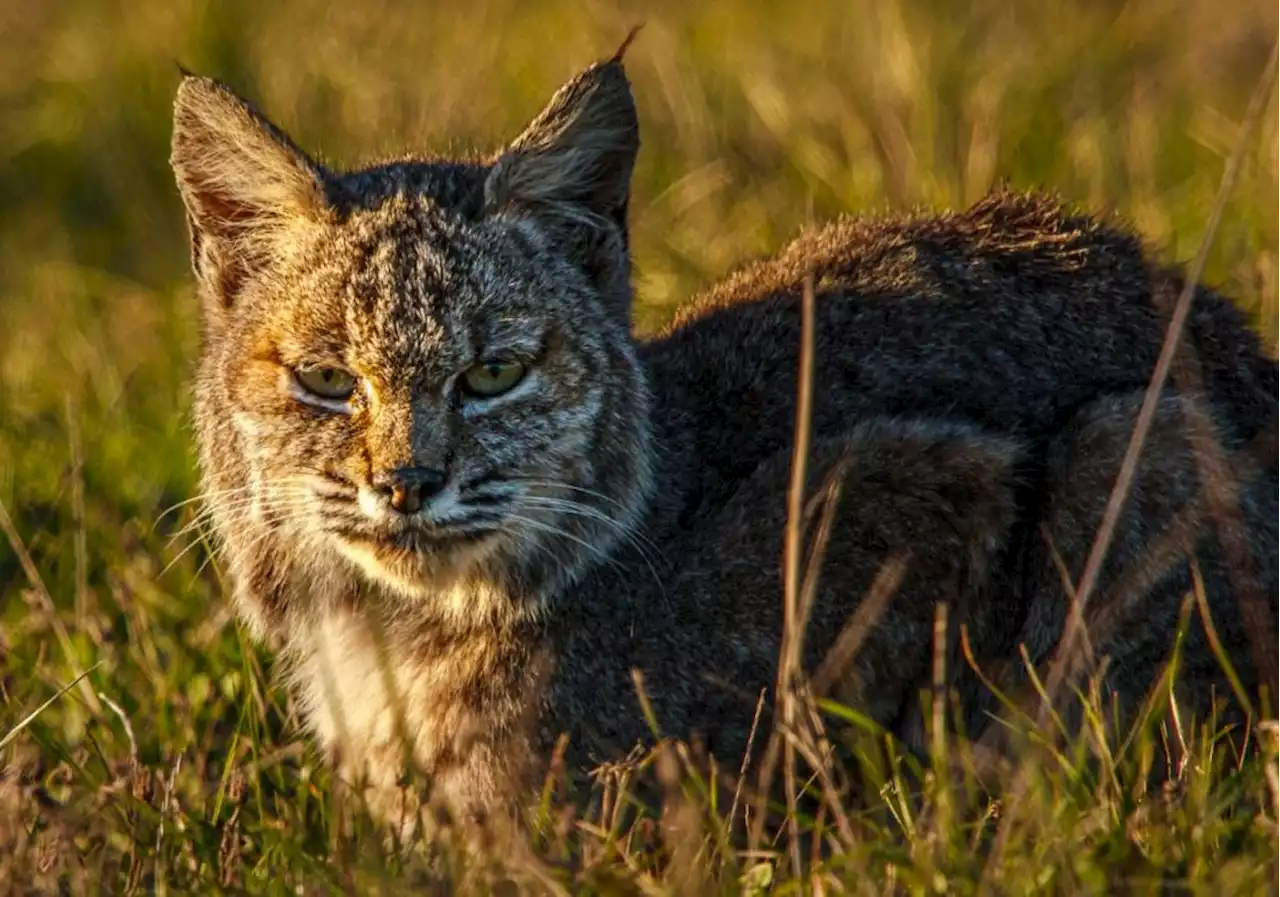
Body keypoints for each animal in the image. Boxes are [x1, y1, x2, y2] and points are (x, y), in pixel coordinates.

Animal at [172, 47, 1280, 834]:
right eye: (326, 382)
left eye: (493, 374)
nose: (406, 485)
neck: (393, 628)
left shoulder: (928, 477)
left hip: (1143, 432)